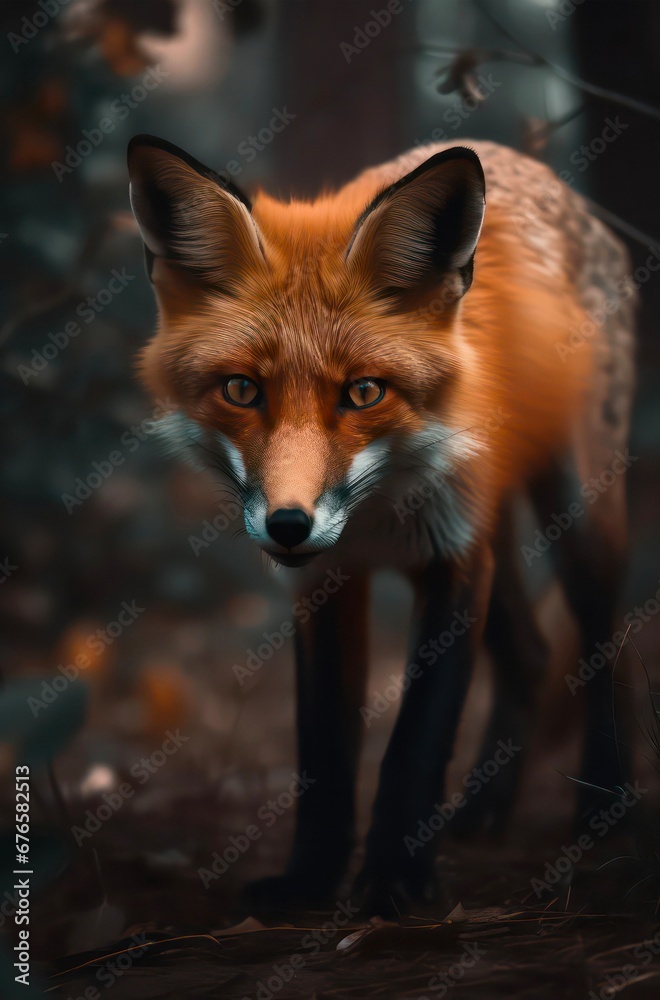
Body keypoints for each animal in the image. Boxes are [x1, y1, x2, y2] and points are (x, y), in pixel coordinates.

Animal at [127, 134, 635, 915]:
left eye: (364, 392)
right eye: (242, 390)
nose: (289, 525)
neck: (377, 518)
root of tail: (534, 167)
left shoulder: (452, 559)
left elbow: (417, 739)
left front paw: (395, 882)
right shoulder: (329, 580)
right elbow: (324, 747)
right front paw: (310, 881)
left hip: (576, 509)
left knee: (606, 637)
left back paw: (605, 802)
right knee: (531, 651)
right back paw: (483, 812)